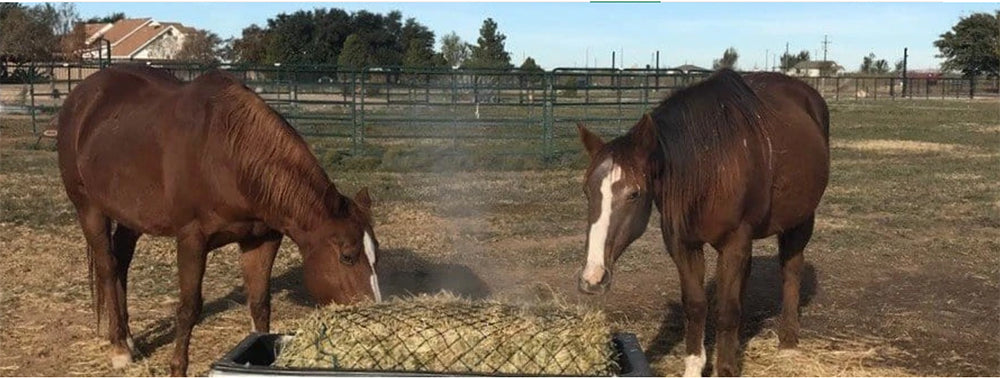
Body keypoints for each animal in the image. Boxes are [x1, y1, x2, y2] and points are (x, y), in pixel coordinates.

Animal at [57, 65, 382, 376]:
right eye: (348, 257)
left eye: (375, 255)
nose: (372, 314)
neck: (228, 156)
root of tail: (81, 97)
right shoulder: (192, 240)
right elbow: (189, 308)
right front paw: (177, 368)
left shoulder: (262, 240)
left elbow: (260, 303)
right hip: (89, 208)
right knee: (108, 267)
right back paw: (119, 348)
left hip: (131, 217)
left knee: (122, 263)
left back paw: (128, 338)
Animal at [576, 69, 832, 376]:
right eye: (587, 190)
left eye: (634, 193)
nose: (592, 278)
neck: (712, 165)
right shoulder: (683, 244)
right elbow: (696, 305)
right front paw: (696, 366)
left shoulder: (734, 242)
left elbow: (726, 311)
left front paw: (726, 368)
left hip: (801, 220)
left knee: (791, 271)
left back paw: (788, 341)